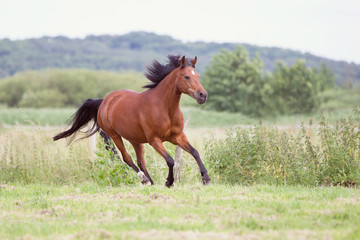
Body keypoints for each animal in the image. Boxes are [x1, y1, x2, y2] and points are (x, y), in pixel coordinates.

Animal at [53, 54, 211, 188]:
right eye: (186, 76)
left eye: (198, 76)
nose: (202, 95)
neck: (165, 108)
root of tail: (104, 101)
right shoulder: (154, 140)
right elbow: (170, 160)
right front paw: (169, 182)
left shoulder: (177, 136)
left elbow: (195, 152)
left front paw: (206, 179)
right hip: (115, 136)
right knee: (127, 158)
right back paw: (145, 180)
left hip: (136, 140)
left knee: (141, 162)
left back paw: (151, 182)